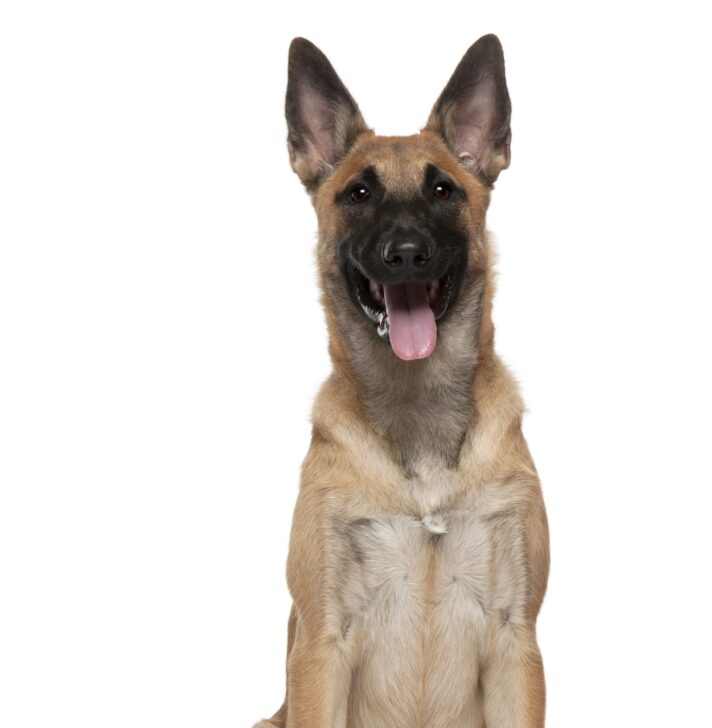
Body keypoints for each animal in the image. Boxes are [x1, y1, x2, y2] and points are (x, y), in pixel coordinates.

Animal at [252, 34, 549, 728]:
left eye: (443, 189)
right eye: (358, 194)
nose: (407, 253)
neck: (417, 414)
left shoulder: (516, 643)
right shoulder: (321, 646)